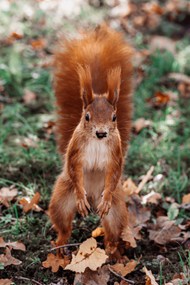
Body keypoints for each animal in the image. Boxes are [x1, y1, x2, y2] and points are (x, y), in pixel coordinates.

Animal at [48, 25, 133, 254]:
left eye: (114, 117)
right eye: (87, 116)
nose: (101, 133)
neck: (97, 143)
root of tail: (94, 196)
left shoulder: (115, 154)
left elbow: (114, 172)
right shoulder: (76, 151)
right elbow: (74, 168)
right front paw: (80, 196)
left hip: (116, 210)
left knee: (113, 230)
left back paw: (113, 251)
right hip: (62, 200)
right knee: (63, 226)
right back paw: (60, 246)